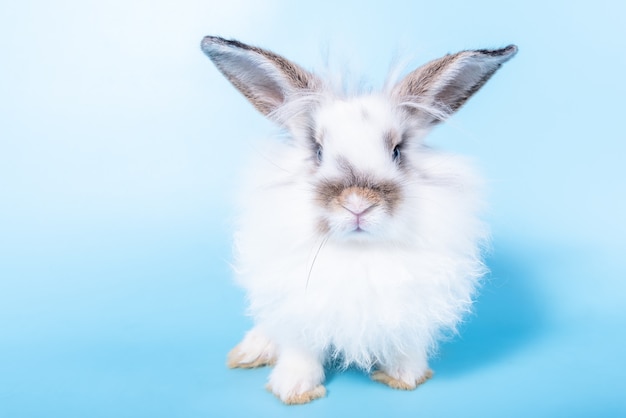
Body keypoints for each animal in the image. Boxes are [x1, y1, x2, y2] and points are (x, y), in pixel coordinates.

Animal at [201, 36, 516, 404]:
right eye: (318, 150)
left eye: (397, 151)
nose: (358, 205)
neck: (359, 250)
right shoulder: (299, 312)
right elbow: (300, 350)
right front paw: (294, 388)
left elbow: (405, 348)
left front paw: (405, 376)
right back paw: (250, 352)